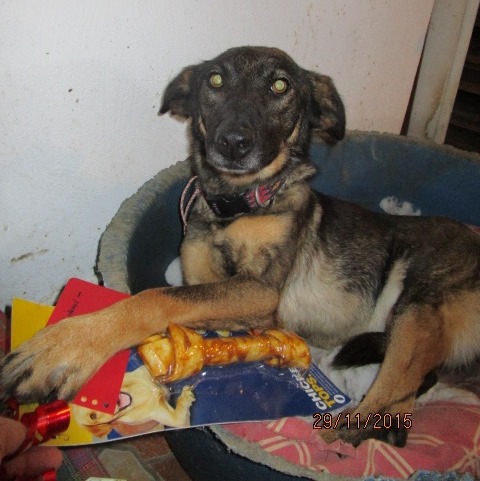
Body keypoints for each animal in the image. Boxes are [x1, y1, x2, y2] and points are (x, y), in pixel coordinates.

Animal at [1, 46, 479, 447]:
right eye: (215, 80)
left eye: (280, 86)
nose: (232, 142)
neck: (235, 206)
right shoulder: (201, 272)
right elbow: (180, 291)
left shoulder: (262, 292)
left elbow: (154, 297)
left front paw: (65, 346)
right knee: (406, 402)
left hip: (418, 310)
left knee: (389, 399)